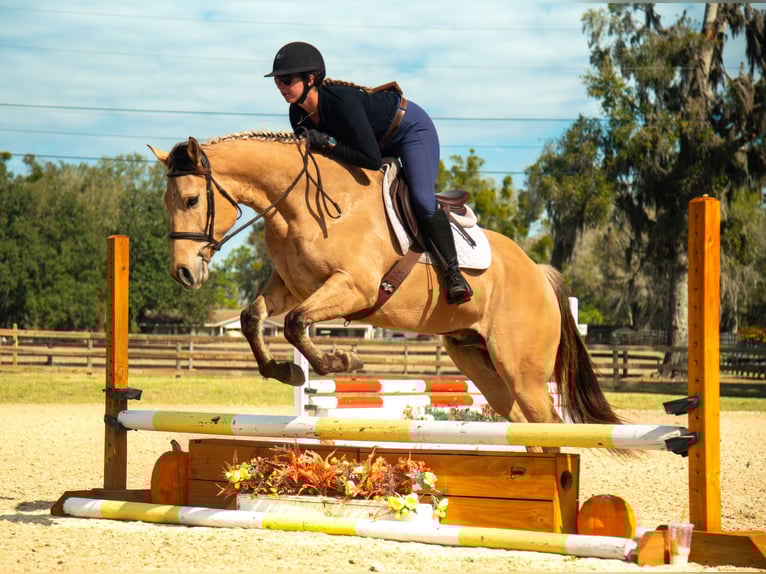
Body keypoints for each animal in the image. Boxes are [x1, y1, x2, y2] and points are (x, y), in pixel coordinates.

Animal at [149, 132, 622, 450]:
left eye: (191, 200)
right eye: (166, 203)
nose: (183, 273)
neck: (302, 205)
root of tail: (537, 273)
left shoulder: (353, 288)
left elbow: (297, 323)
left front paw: (341, 360)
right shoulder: (291, 286)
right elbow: (254, 318)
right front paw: (285, 371)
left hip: (522, 371)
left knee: (547, 422)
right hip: (480, 364)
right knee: (524, 424)